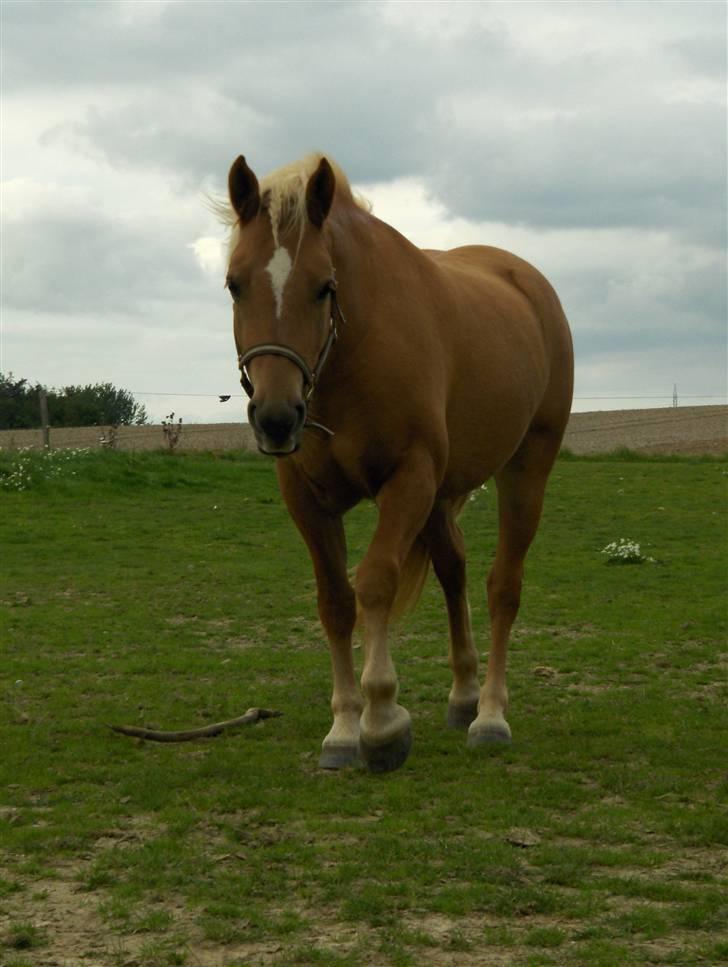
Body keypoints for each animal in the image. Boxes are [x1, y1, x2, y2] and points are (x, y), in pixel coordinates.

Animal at [220, 153, 576, 772]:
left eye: (324, 287)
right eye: (235, 284)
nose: (277, 417)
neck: (351, 357)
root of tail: (527, 281)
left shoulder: (408, 480)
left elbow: (375, 582)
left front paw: (381, 718)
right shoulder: (308, 498)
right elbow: (336, 600)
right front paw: (343, 728)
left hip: (525, 469)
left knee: (502, 586)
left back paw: (489, 715)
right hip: (441, 496)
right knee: (454, 570)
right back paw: (463, 695)